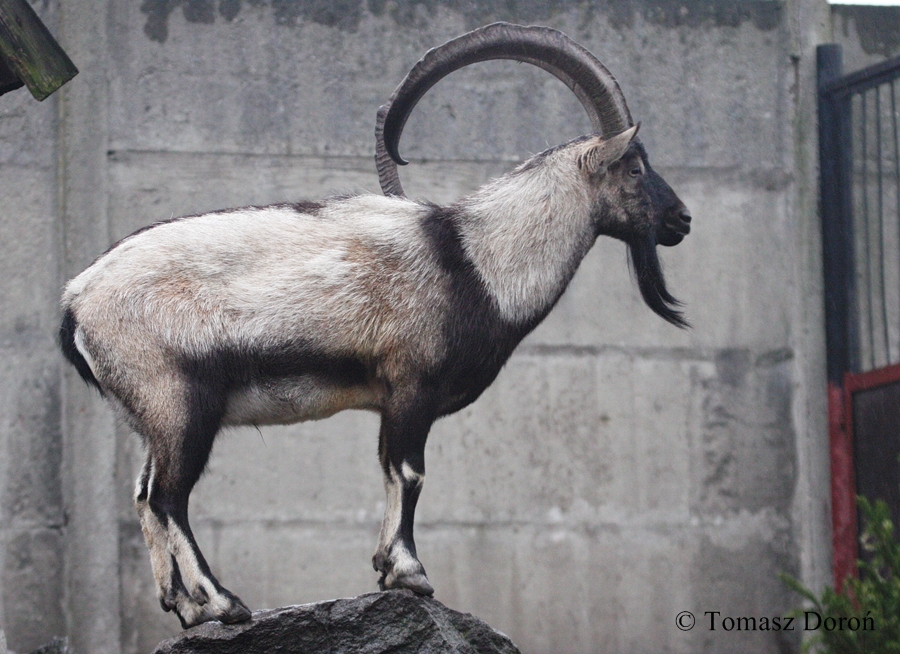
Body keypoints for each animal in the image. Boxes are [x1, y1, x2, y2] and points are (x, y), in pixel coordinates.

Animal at [59, 22, 691, 628]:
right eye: (636, 166)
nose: (681, 219)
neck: (477, 260)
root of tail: (75, 303)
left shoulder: (392, 399)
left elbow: (390, 470)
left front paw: (388, 567)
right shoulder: (413, 384)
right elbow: (410, 472)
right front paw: (411, 573)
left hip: (151, 416)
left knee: (144, 496)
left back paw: (187, 610)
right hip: (180, 403)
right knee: (169, 498)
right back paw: (221, 603)